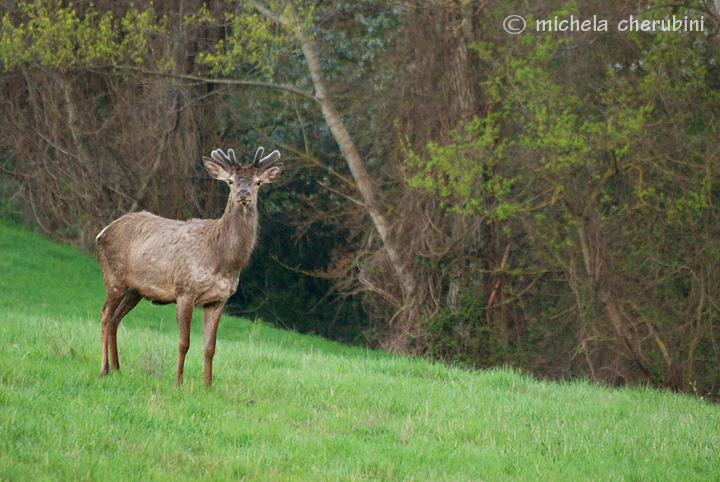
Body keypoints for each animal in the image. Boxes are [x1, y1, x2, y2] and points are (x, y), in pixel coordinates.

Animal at [97, 146, 282, 388]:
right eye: (230, 181)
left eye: (258, 182)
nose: (243, 194)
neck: (222, 260)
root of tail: (102, 232)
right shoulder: (185, 290)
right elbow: (184, 342)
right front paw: (178, 382)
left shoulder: (218, 300)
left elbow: (210, 347)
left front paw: (208, 386)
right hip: (113, 276)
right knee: (105, 315)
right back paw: (104, 369)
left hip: (136, 289)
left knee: (116, 319)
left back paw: (117, 368)